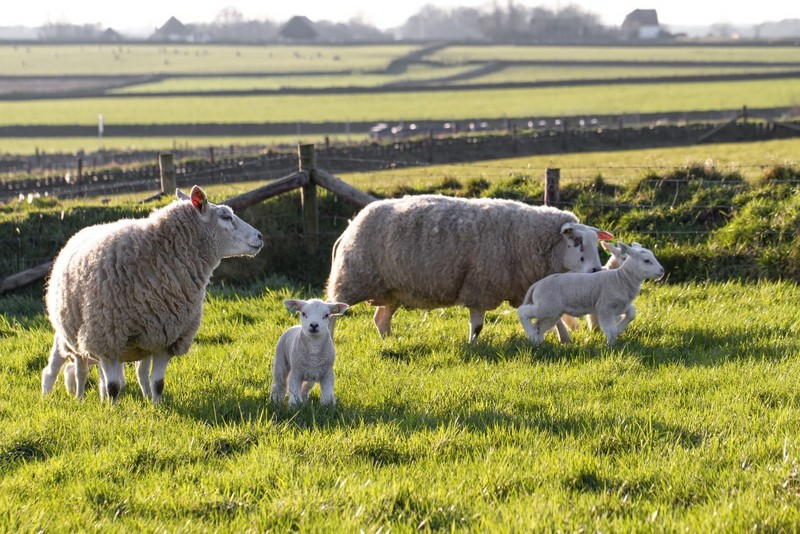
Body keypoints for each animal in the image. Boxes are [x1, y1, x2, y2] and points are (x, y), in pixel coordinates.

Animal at [40, 186, 264, 404]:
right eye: (226, 216)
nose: (260, 236)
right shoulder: (107, 339)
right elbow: (114, 387)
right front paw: (113, 411)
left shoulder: (166, 338)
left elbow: (157, 383)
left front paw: (156, 407)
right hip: (75, 340)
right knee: (75, 371)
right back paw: (68, 398)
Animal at [324, 196, 612, 344]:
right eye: (576, 241)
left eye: (595, 242)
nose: (596, 270)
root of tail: (350, 226)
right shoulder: (479, 287)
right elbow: (478, 325)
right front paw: (473, 346)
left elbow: (556, 319)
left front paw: (565, 340)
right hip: (350, 281)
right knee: (333, 315)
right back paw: (331, 340)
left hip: (392, 290)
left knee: (381, 319)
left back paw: (391, 342)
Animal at [520, 243, 664, 348]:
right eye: (647, 261)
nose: (662, 270)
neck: (620, 278)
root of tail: (537, 285)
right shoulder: (605, 308)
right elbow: (610, 330)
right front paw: (610, 346)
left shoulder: (620, 306)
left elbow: (632, 313)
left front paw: (619, 330)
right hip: (546, 306)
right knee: (522, 312)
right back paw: (532, 335)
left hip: (552, 312)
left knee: (539, 325)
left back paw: (536, 340)